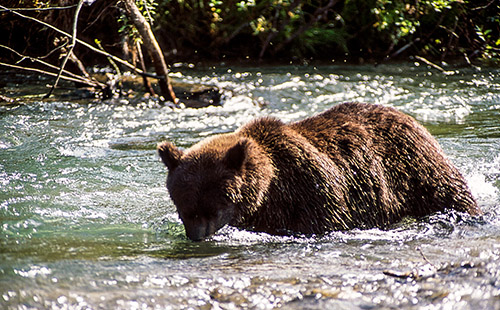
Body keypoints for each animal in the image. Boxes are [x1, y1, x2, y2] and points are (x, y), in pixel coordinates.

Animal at [159, 103, 480, 241]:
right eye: (185, 208)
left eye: (215, 206)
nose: (197, 237)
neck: (271, 190)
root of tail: (407, 116)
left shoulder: (312, 190)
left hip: (415, 166)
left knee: (450, 193)